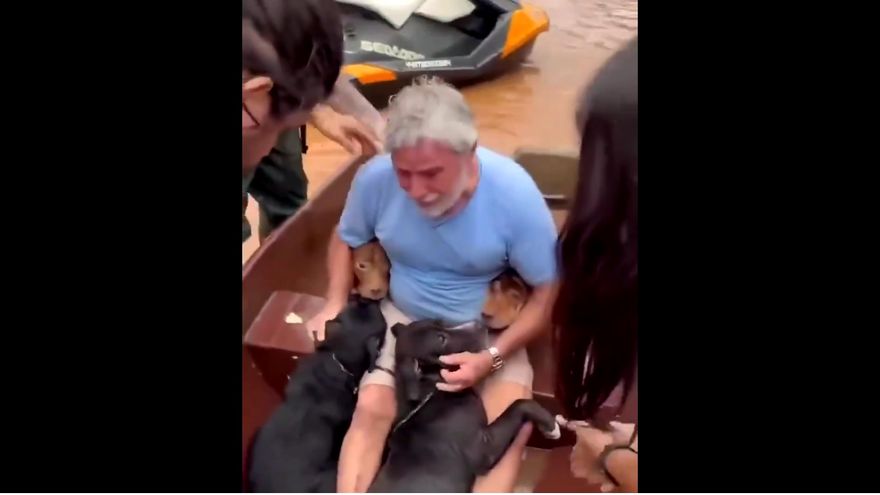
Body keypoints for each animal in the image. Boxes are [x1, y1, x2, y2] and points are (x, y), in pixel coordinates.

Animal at [368, 320, 560, 493]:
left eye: (440, 321)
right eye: (441, 339)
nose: (480, 324)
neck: (430, 392)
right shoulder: (483, 447)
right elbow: (519, 404)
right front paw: (550, 425)